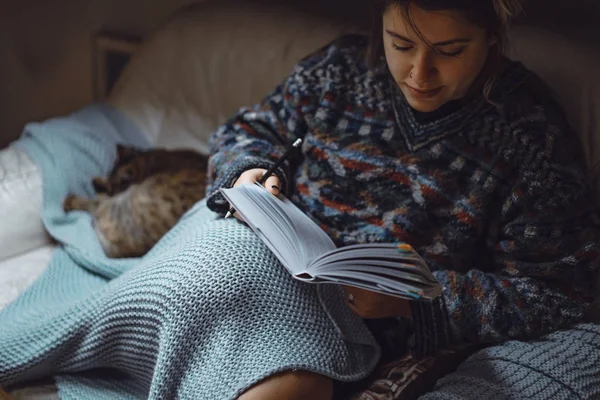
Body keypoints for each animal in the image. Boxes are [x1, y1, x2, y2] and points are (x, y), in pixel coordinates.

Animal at [63, 145, 209, 258]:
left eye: (115, 190)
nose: (111, 192)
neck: (148, 162)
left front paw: (100, 183)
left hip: (116, 204)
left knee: (93, 204)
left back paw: (71, 200)